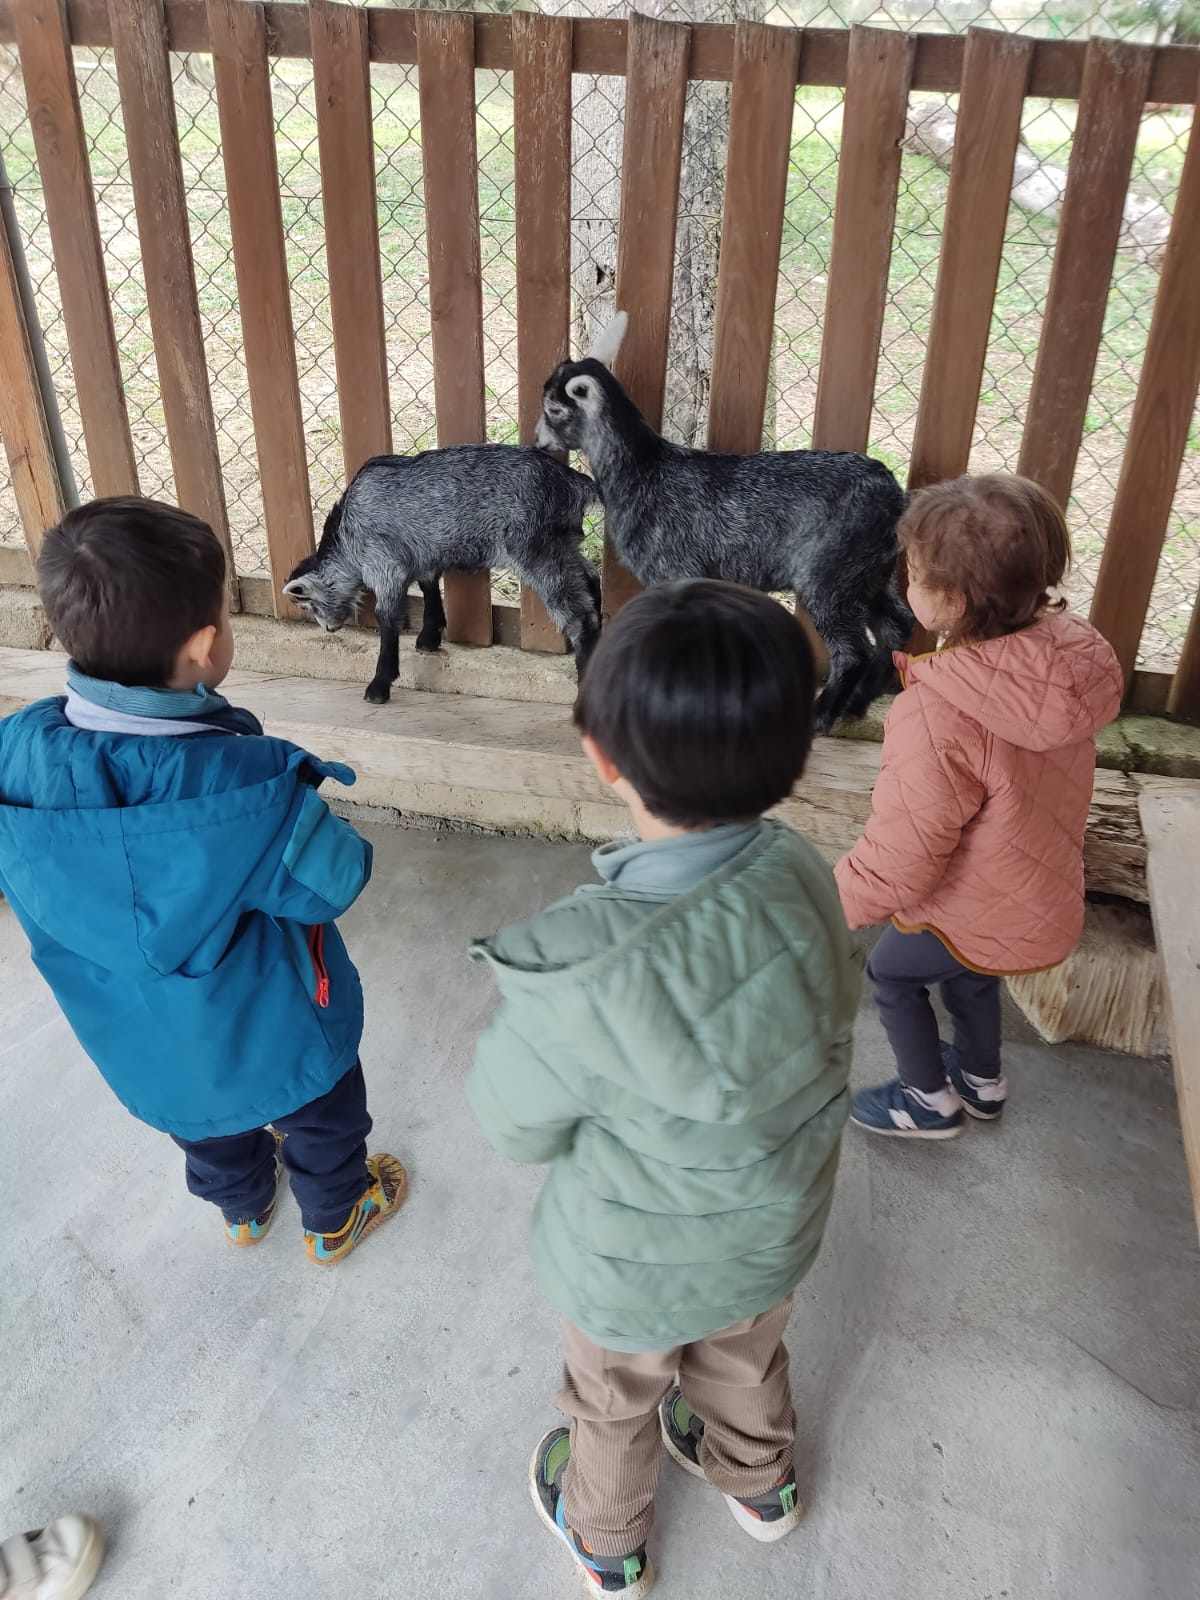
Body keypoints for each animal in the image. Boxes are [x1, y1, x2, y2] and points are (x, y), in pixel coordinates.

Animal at [283, 445, 603, 705]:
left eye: (307, 604)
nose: (329, 628)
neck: (348, 535)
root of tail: (572, 482)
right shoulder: (423, 557)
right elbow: (429, 587)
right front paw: (429, 637)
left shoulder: (384, 564)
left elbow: (387, 617)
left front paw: (379, 685)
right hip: (563, 543)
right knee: (591, 579)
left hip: (535, 549)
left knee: (579, 615)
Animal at [536, 311, 914, 731]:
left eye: (554, 409)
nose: (539, 442)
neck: (644, 470)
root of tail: (893, 493)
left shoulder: (674, 569)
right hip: (870, 571)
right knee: (898, 625)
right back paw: (859, 703)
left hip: (829, 574)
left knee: (853, 650)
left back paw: (822, 715)